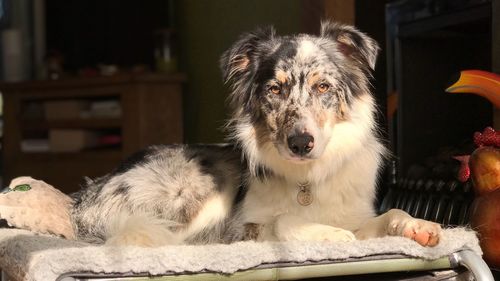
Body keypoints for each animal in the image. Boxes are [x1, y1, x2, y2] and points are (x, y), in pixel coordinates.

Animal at [69, 20, 442, 246]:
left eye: (323, 86)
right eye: (275, 89)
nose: (300, 143)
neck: (307, 179)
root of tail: (84, 198)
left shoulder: (356, 215)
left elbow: (390, 215)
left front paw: (418, 225)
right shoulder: (239, 227)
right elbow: (284, 221)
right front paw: (333, 236)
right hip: (204, 188)